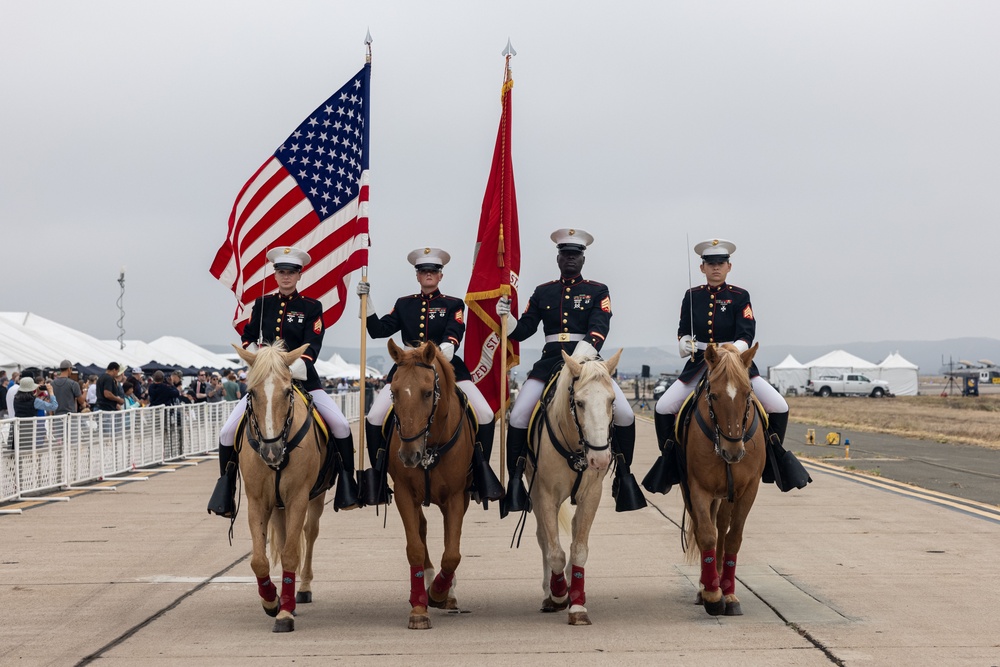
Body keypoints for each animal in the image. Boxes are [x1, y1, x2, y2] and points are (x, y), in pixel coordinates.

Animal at [232, 342, 330, 636]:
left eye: (287, 391)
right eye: (251, 392)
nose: (271, 451)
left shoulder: (298, 498)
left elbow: (290, 554)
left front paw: (284, 613)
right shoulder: (257, 501)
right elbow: (258, 560)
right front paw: (271, 601)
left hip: (315, 498)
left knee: (308, 534)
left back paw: (303, 589)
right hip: (277, 505)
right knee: (286, 534)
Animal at [382, 342, 476, 628]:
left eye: (426, 393)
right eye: (394, 392)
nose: (408, 455)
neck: (430, 446)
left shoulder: (457, 496)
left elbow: (452, 552)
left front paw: (439, 593)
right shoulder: (403, 493)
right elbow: (414, 548)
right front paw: (419, 607)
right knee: (421, 529)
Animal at [528, 344, 620, 628]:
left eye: (612, 401)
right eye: (579, 403)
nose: (600, 459)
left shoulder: (591, 495)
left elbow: (579, 549)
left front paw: (577, 603)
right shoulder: (546, 495)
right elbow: (554, 550)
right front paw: (558, 594)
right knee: (544, 539)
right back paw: (549, 592)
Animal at [680, 342, 764, 620]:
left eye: (748, 393)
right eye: (714, 396)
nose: (733, 452)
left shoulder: (748, 490)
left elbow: (733, 538)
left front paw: (728, 594)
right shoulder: (697, 488)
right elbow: (706, 535)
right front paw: (713, 596)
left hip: (727, 494)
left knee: (723, 527)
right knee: (706, 529)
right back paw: (707, 585)